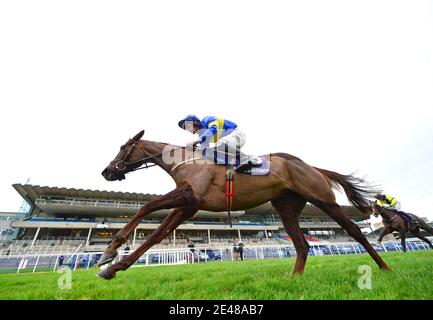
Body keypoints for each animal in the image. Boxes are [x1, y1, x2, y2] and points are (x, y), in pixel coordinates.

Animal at [95, 131, 388, 280]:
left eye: (123, 147)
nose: (106, 171)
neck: (185, 161)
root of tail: (311, 167)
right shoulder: (187, 207)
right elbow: (156, 233)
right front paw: (112, 265)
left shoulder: (189, 198)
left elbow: (147, 208)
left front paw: (109, 252)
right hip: (285, 208)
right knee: (302, 244)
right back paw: (294, 278)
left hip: (323, 199)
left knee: (355, 232)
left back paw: (385, 267)